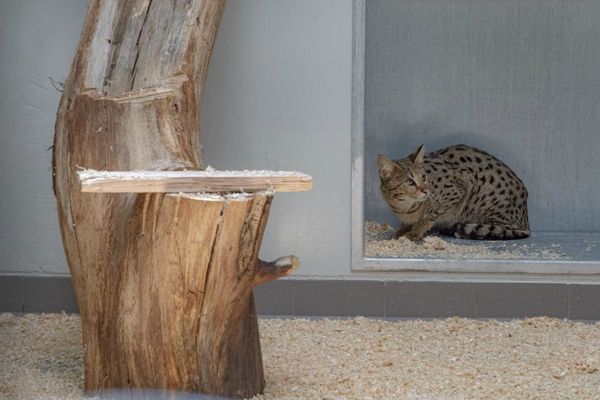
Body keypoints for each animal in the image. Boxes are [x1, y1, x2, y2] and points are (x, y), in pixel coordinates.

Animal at [378, 145, 532, 242]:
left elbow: (429, 216)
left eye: (423, 177)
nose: (426, 190)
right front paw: (401, 231)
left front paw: (415, 232)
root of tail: (526, 222)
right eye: (409, 181)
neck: (404, 206)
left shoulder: (459, 189)